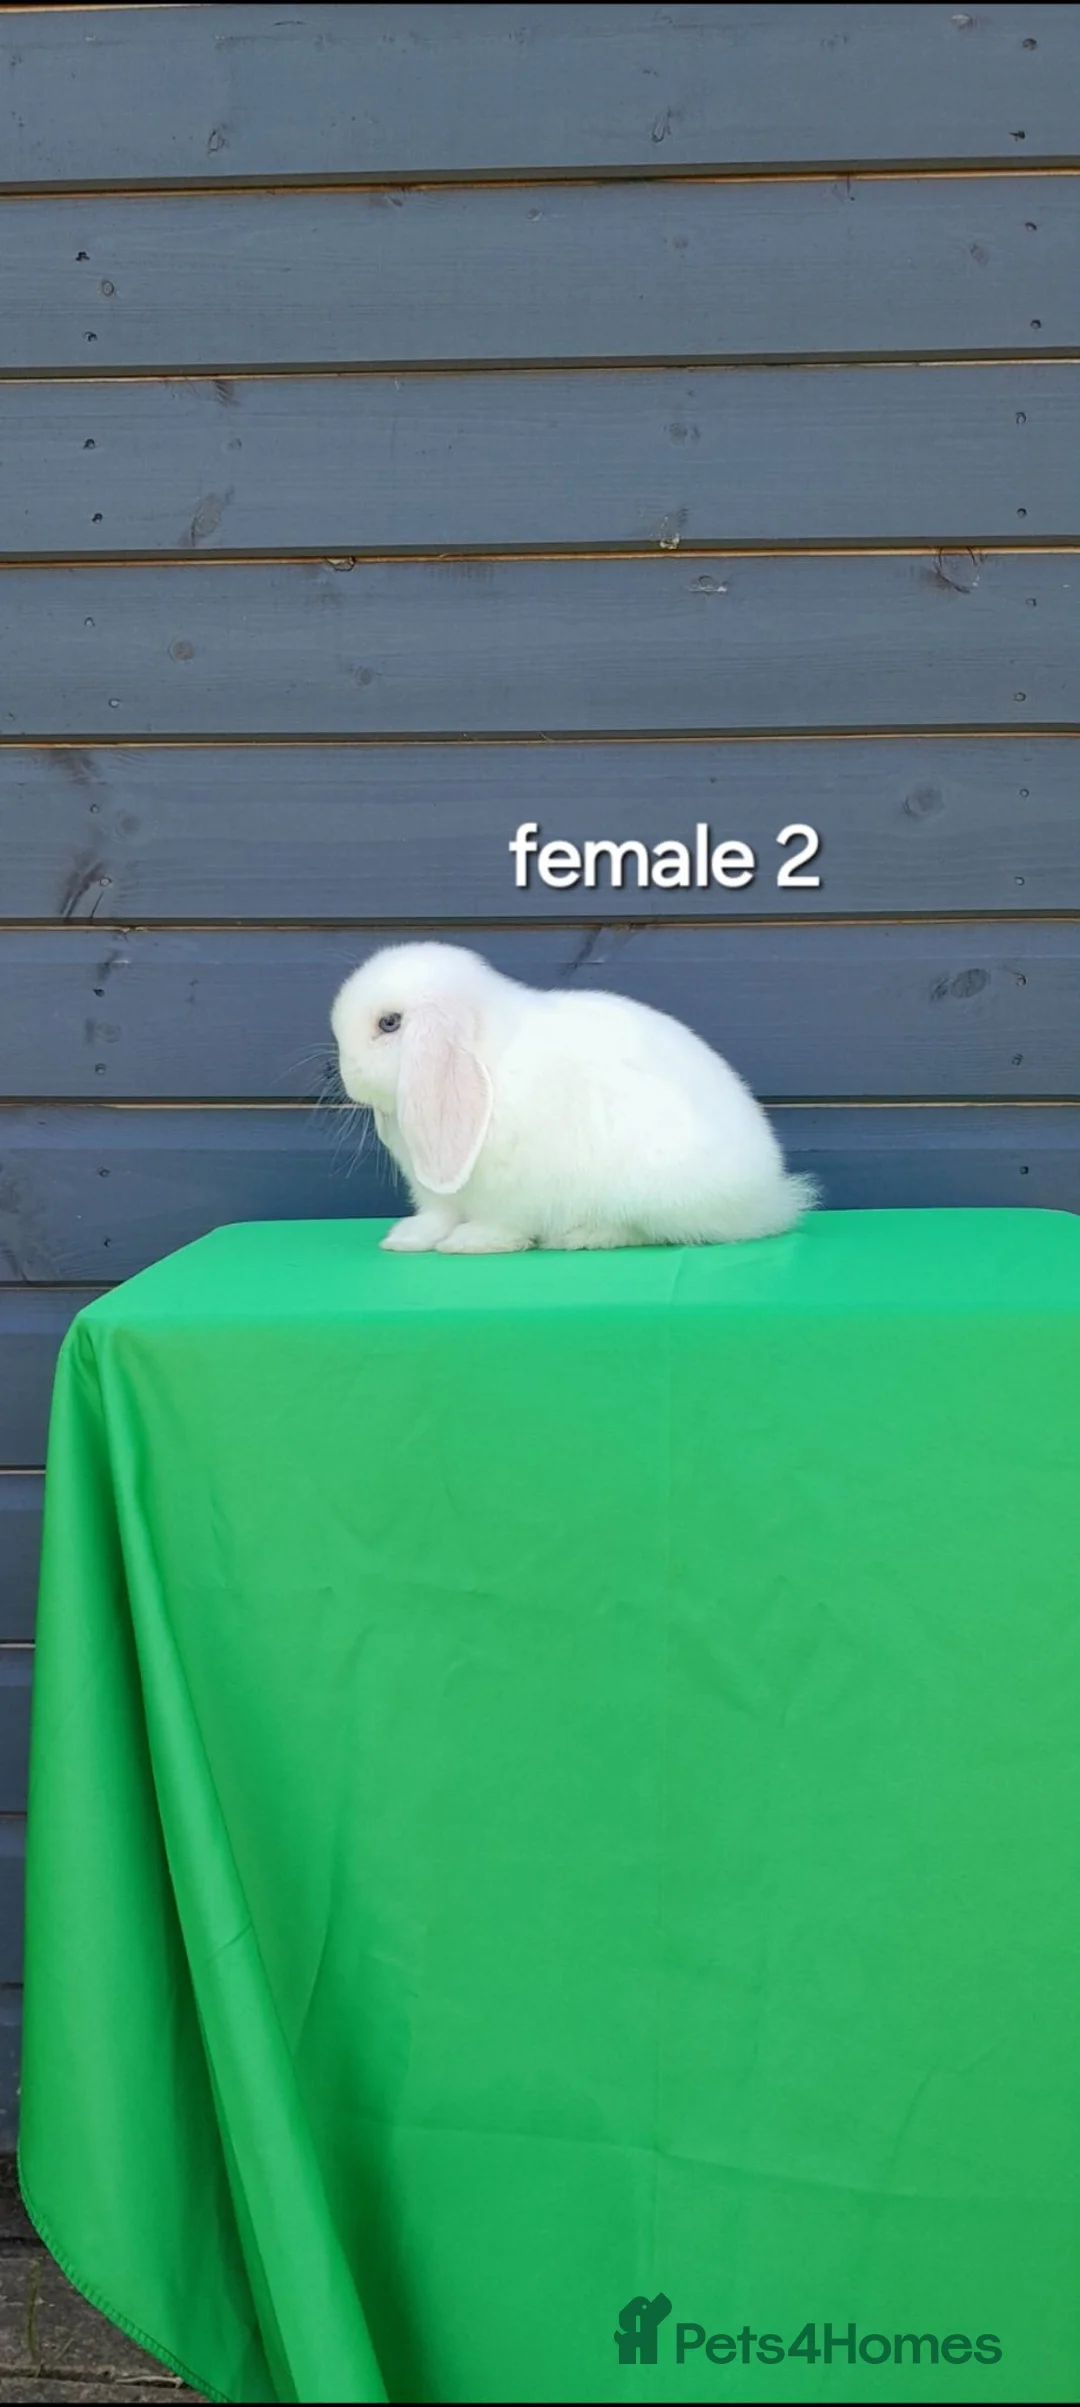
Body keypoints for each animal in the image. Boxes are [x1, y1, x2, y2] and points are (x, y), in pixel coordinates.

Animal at [330, 940, 817, 1255]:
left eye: (389, 1023)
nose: (347, 1076)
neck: (488, 1055)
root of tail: (767, 1194)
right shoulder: (439, 1194)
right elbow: (437, 1215)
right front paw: (406, 1239)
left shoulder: (513, 1191)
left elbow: (501, 1222)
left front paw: (473, 1243)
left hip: (652, 1192)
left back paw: (581, 1236)